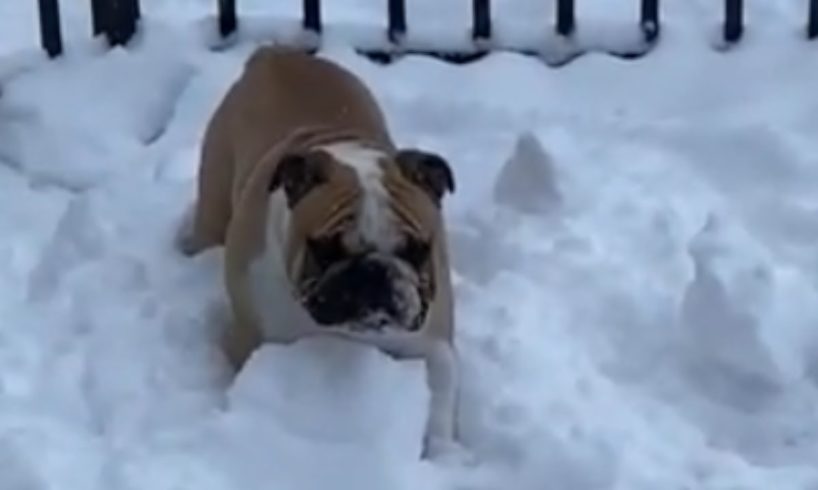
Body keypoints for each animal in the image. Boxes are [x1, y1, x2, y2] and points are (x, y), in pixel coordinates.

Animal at [175, 46, 460, 460]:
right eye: (324, 249)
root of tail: (276, 53)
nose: (374, 271)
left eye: (417, 249)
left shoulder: (433, 339)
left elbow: (440, 386)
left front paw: (440, 451)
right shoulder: (253, 337)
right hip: (214, 196)